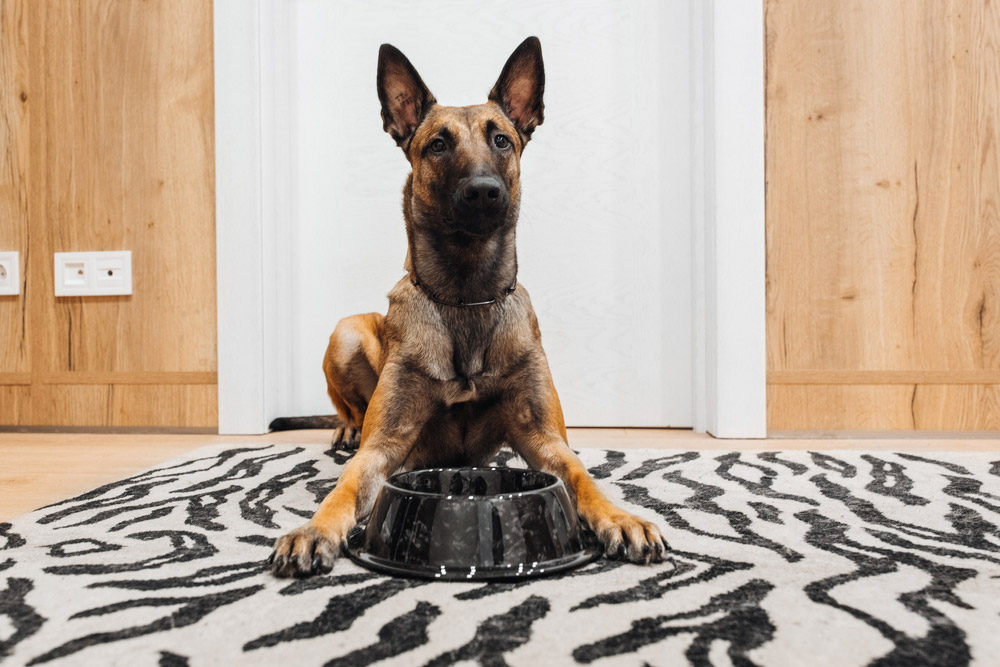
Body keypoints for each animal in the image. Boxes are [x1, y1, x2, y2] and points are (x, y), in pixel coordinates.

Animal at [270, 37, 668, 580]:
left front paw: (620, 517)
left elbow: (582, 476)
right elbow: (346, 487)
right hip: (346, 330)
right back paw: (347, 427)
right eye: (437, 145)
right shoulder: (384, 448)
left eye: (501, 140)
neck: (466, 296)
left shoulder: (545, 439)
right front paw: (314, 529)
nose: (483, 192)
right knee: (346, 409)